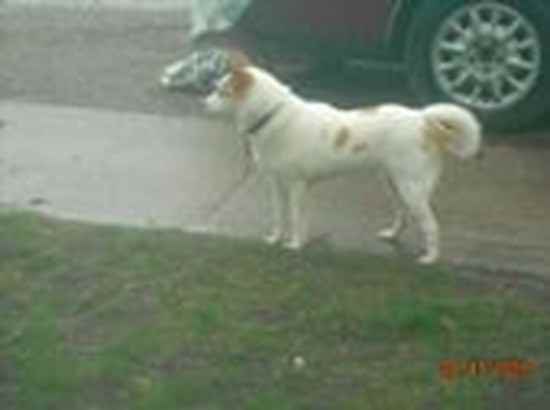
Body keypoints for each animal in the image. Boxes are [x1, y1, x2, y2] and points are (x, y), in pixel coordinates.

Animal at [205, 57, 480, 264]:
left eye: (221, 92)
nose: (203, 103)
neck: (272, 114)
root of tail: (424, 120)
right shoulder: (276, 184)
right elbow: (279, 216)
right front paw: (275, 239)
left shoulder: (296, 186)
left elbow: (295, 218)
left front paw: (295, 245)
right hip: (393, 184)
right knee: (402, 213)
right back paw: (392, 235)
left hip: (410, 188)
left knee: (431, 226)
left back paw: (430, 258)